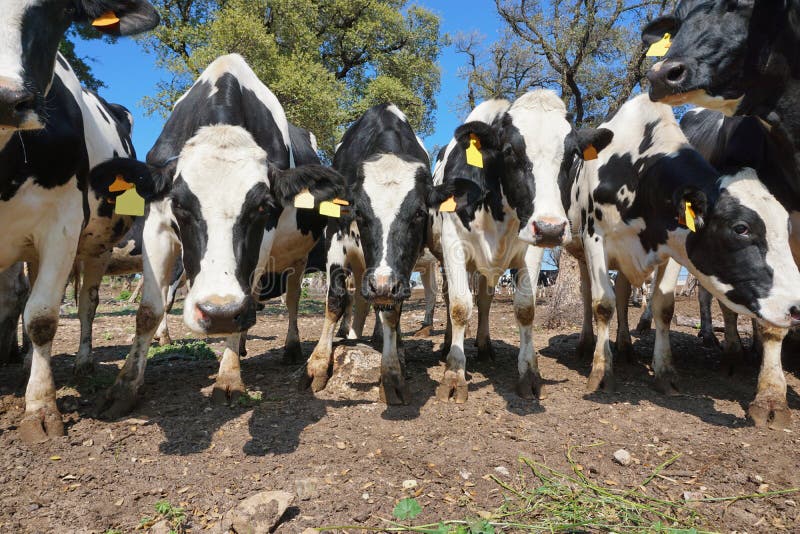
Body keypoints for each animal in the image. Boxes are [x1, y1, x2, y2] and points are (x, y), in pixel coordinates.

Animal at [0, 0, 159, 444]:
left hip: (96, 245)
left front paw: (40, 409)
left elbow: (42, 317)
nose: (5, 98)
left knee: (86, 302)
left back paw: (82, 362)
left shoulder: (62, 224)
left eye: (55, 12)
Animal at [97, 54, 344, 420]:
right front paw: (124, 387)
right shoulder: (156, 222)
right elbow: (149, 310)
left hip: (297, 257)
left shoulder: (265, 238)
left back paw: (288, 346)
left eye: (263, 207)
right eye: (180, 205)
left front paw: (228, 379)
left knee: (290, 299)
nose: (219, 312)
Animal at [302, 102, 438, 406]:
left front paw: (392, 372)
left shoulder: (401, 269)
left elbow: (392, 312)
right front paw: (318, 364)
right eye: (360, 213)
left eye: (419, 213)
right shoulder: (336, 236)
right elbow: (336, 299)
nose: (383, 285)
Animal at [432, 92, 612, 404]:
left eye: (572, 155)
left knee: (485, 301)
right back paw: (447, 346)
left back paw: (485, 346)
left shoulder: (531, 249)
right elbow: (459, 306)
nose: (551, 228)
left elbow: (525, 308)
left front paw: (529, 373)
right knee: (451, 298)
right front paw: (454, 375)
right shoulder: (453, 243)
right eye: (509, 151)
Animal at [564, 96, 800, 430]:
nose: (795, 308)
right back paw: (586, 345)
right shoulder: (595, 239)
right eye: (741, 228)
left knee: (623, 294)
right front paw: (601, 372)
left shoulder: (673, 246)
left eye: (786, 224)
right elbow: (602, 305)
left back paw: (625, 346)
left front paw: (665, 373)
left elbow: (662, 307)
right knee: (589, 296)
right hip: (582, 252)